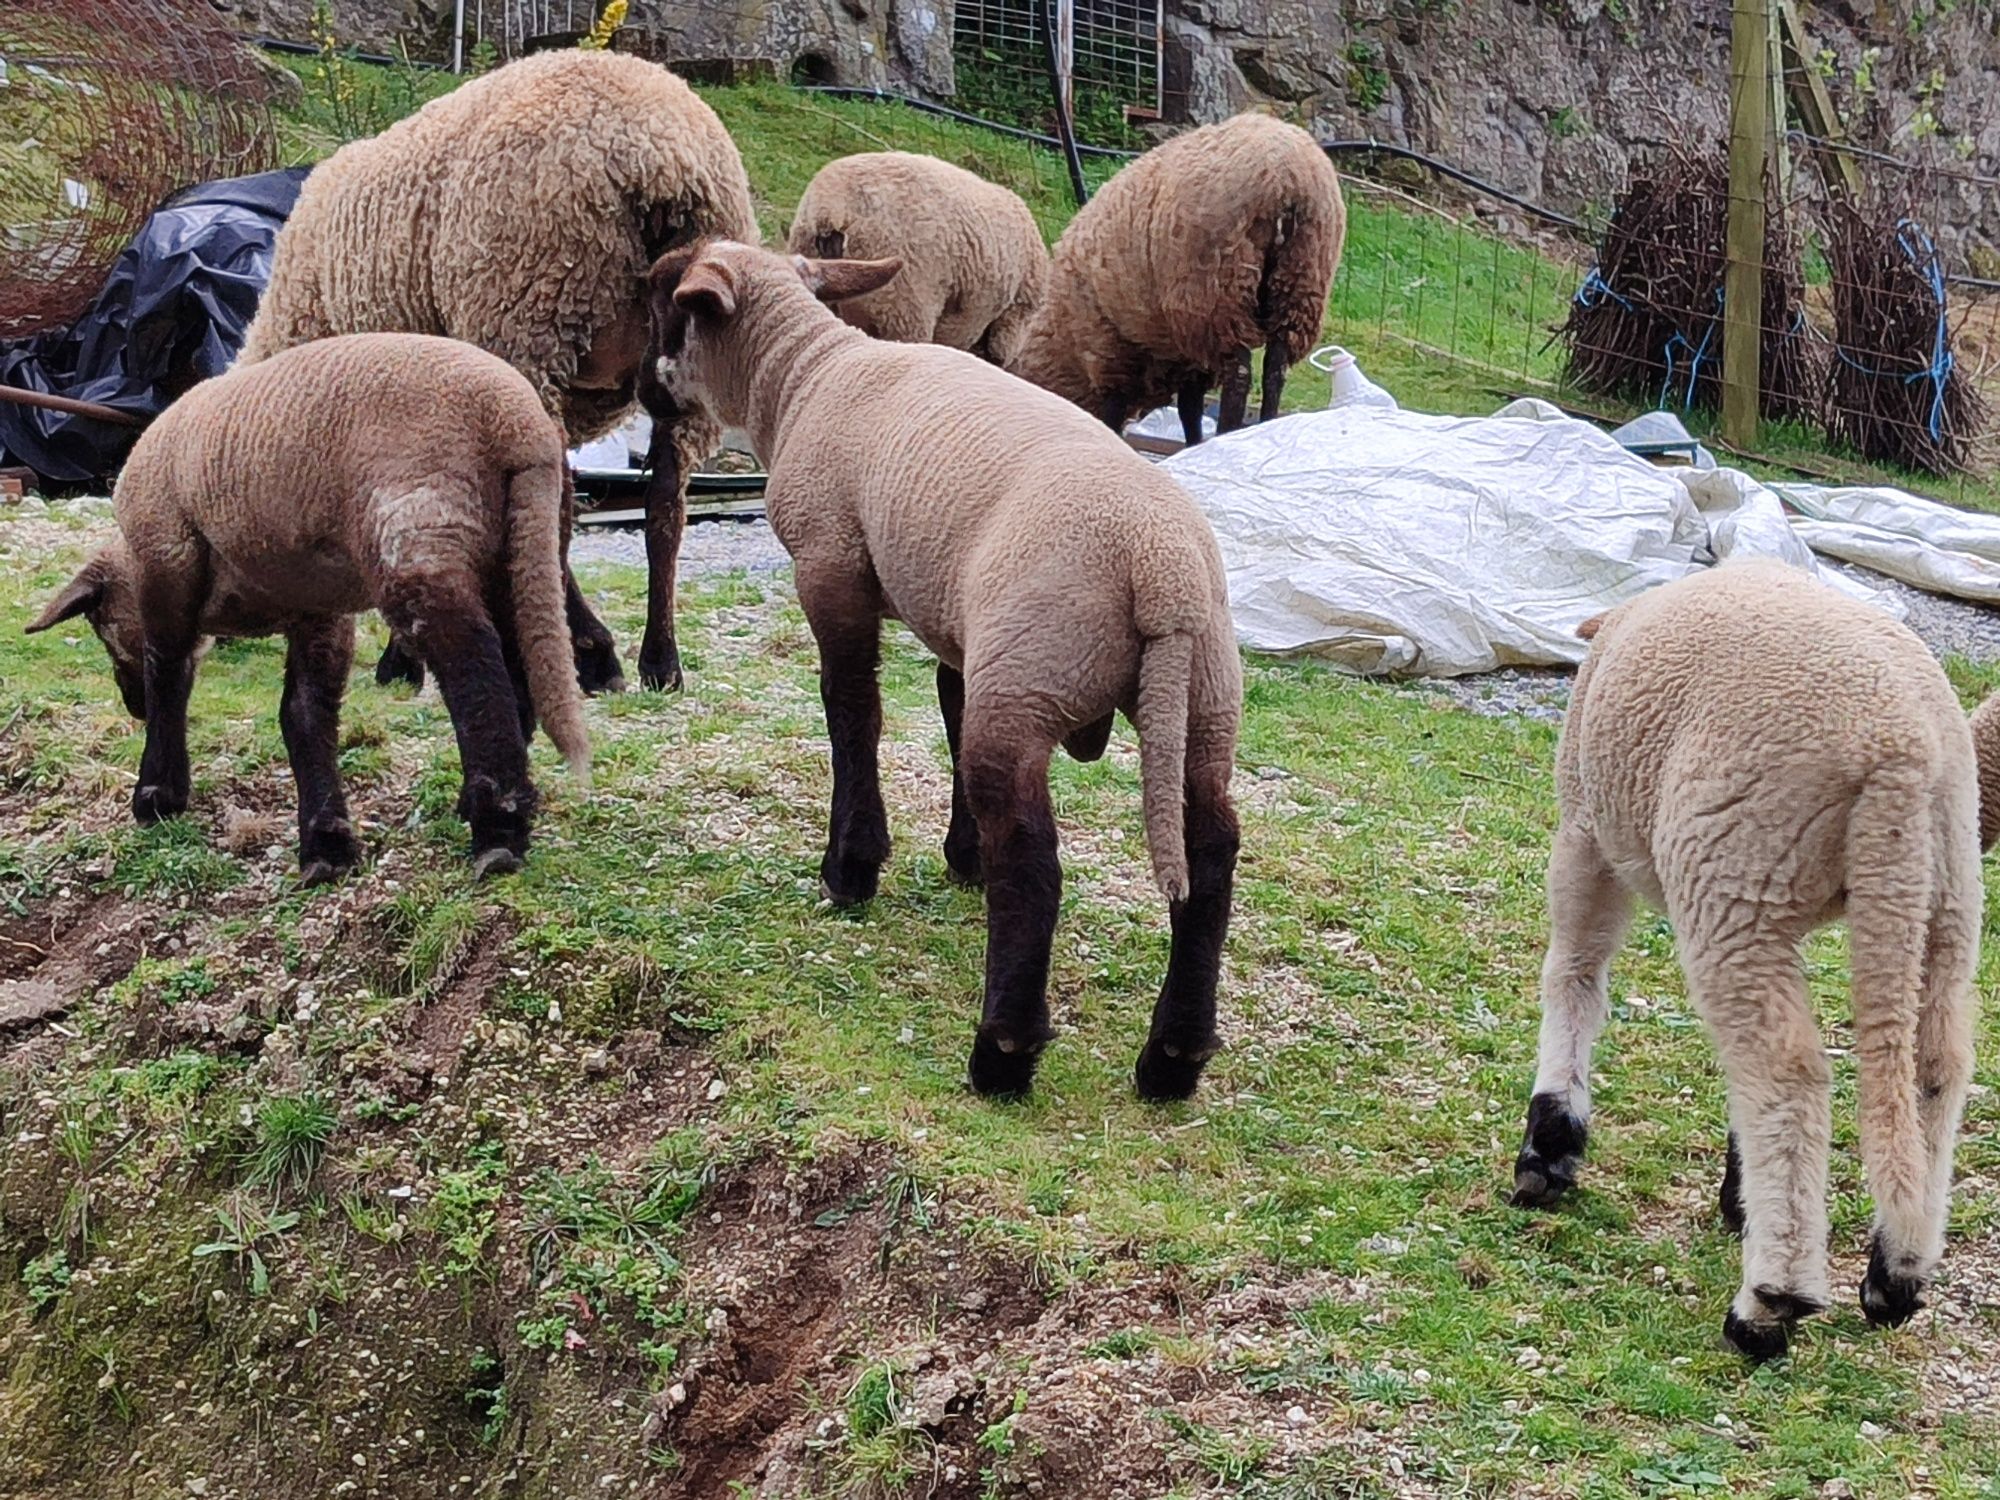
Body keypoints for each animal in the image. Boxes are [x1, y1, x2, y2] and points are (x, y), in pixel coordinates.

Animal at [29, 334, 584, 888]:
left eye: (101, 627)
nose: (132, 706)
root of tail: (516, 424)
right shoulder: (317, 605)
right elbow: (304, 713)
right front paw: (326, 843)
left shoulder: (168, 562)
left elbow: (168, 675)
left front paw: (157, 795)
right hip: (518, 550)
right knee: (516, 665)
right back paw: (490, 805)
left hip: (420, 526)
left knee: (475, 670)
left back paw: (497, 832)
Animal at [242, 50, 756, 696]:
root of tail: (659, 160)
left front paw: (400, 658)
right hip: (687, 353)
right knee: (665, 503)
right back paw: (659, 661)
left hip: (528, 318)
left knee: (555, 514)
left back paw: (592, 653)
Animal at [640, 241, 1240, 1096]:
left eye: (661, 302)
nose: (643, 397)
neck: (801, 376)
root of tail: (1160, 569)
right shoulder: (959, 623)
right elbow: (947, 710)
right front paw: (962, 857)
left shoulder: (831, 567)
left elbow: (851, 711)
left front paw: (852, 867)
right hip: (1197, 695)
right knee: (1212, 850)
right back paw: (1172, 1058)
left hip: (1031, 672)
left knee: (1033, 854)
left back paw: (1003, 1052)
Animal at [1016, 112, 1344, 446]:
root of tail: (1287, 177)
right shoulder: (1186, 357)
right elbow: (1190, 407)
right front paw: (1193, 440)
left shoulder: (1109, 348)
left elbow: (1117, 409)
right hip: (1301, 281)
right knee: (1275, 370)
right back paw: (1265, 424)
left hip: (1218, 293)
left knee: (1239, 374)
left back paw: (1227, 432)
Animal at [1512, 560, 1984, 1360]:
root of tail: (1900, 751)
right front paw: (1738, 1194)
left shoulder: (1584, 824)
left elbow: (1574, 972)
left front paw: (1549, 1144)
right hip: (1940, 887)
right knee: (1935, 1067)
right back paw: (1896, 1272)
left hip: (1736, 865)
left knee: (1786, 1072)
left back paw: (1770, 1303)